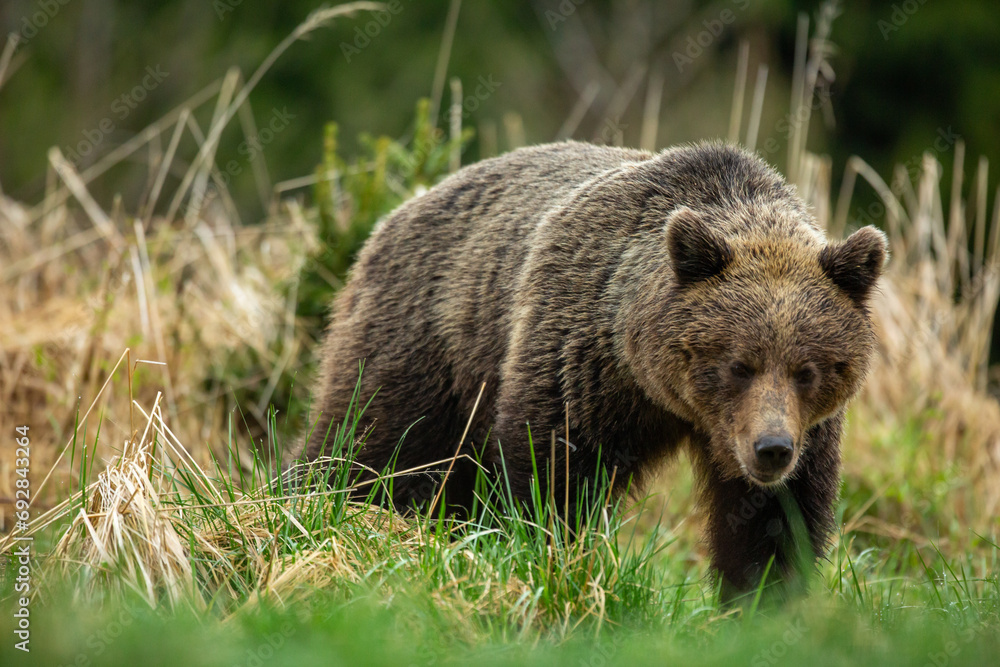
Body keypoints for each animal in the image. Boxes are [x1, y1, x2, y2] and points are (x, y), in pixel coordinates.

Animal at [294, 140, 887, 598]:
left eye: (808, 369)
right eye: (738, 364)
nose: (771, 448)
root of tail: (396, 214)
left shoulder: (804, 432)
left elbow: (776, 522)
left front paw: (760, 602)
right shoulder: (580, 356)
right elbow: (552, 471)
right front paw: (546, 558)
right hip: (427, 339)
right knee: (371, 440)